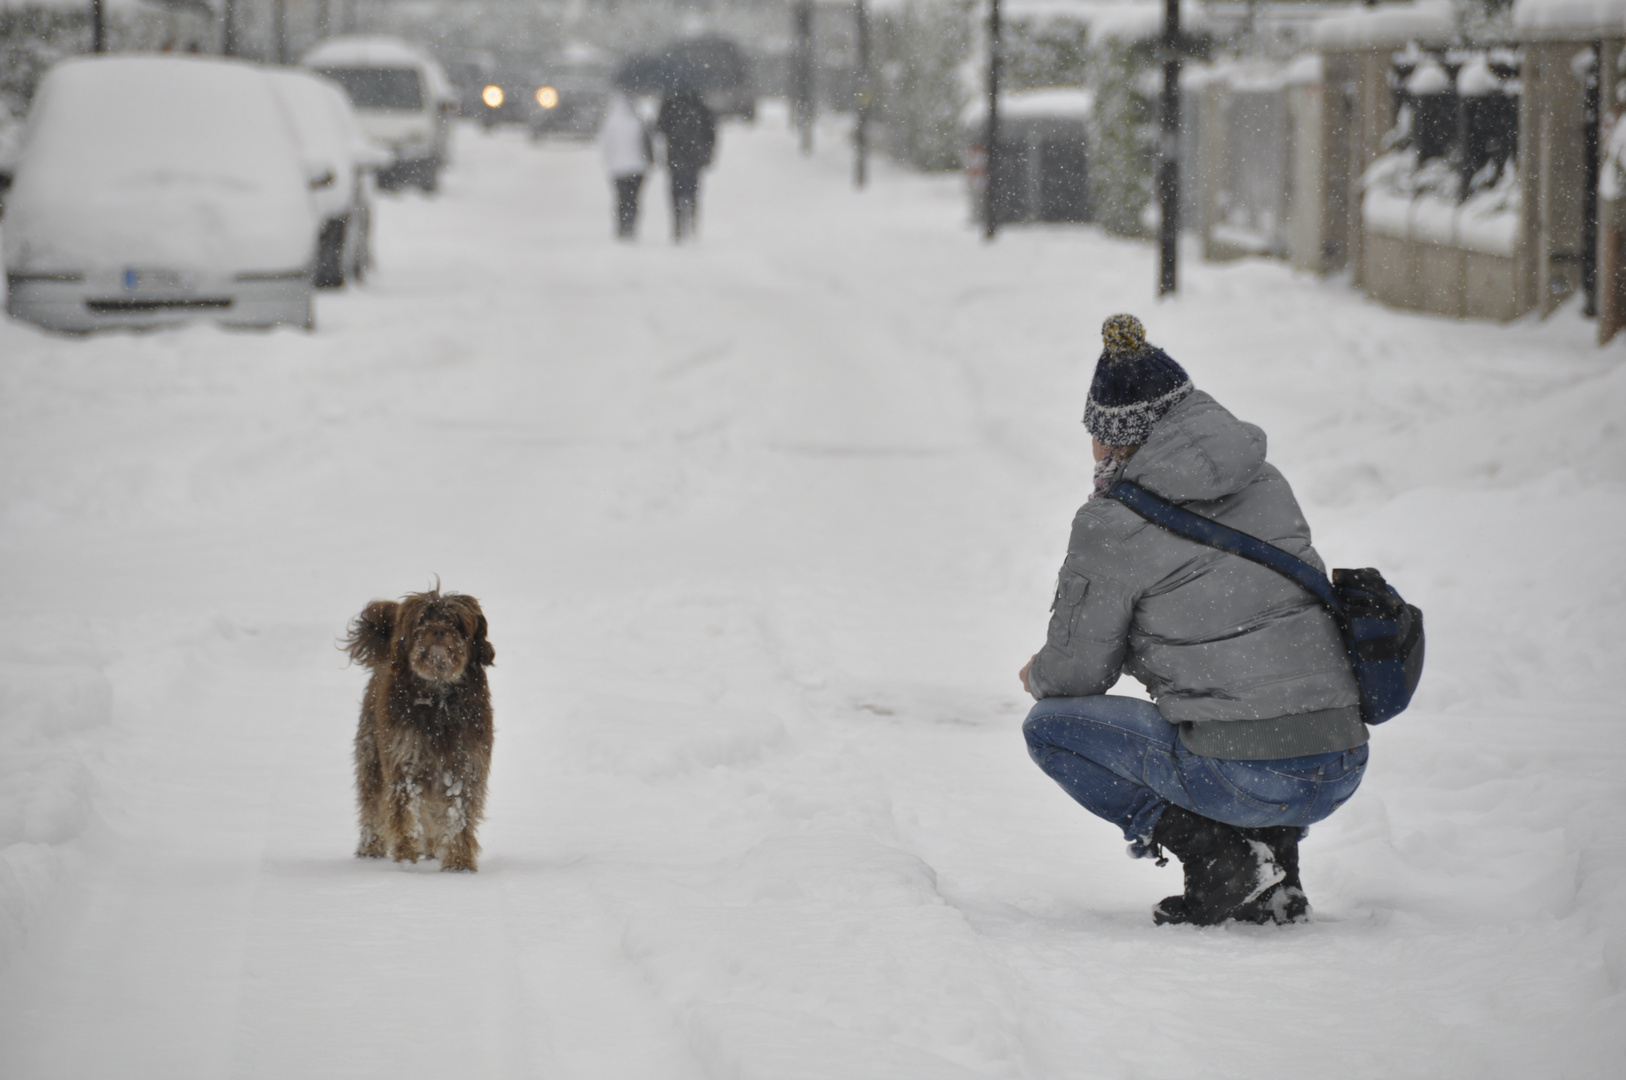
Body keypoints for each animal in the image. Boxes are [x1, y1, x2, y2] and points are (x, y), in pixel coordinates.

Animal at [343, 585, 494, 871]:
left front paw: (459, 862)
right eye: (423, 619)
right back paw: (371, 847)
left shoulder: (465, 765)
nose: (438, 630)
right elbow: (404, 811)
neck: (438, 697)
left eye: (454, 621)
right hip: (372, 759)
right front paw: (405, 857)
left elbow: (459, 815)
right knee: (373, 805)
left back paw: (433, 848)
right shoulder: (404, 761)